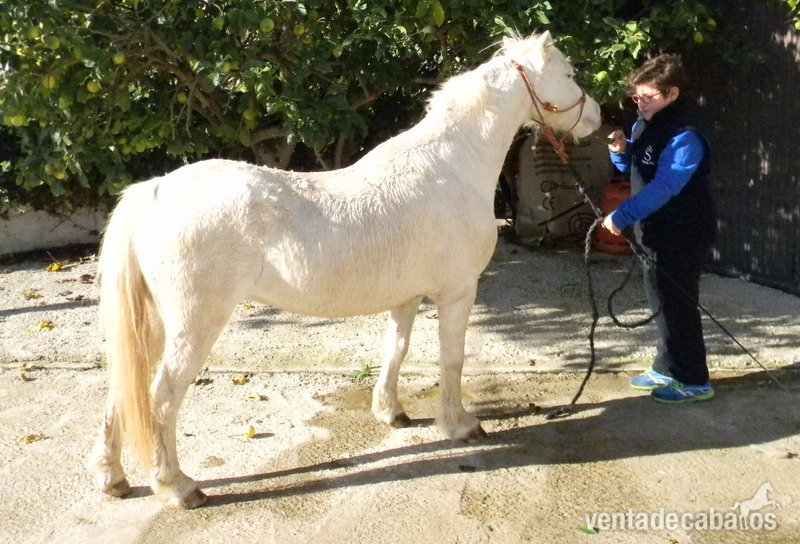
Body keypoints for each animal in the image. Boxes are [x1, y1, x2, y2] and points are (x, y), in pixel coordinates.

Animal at [87, 31, 601, 508]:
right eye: (569, 72)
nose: (597, 117)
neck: (452, 164)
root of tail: (156, 191)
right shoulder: (458, 292)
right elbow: (451, 359)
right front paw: (460, 425)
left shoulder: (407, 297)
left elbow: (396, 349)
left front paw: (391, 413)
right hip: (194, 325)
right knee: (161, 396)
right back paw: (178, 487)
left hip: (155, 323)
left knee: (124, 388)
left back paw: (113, 478)